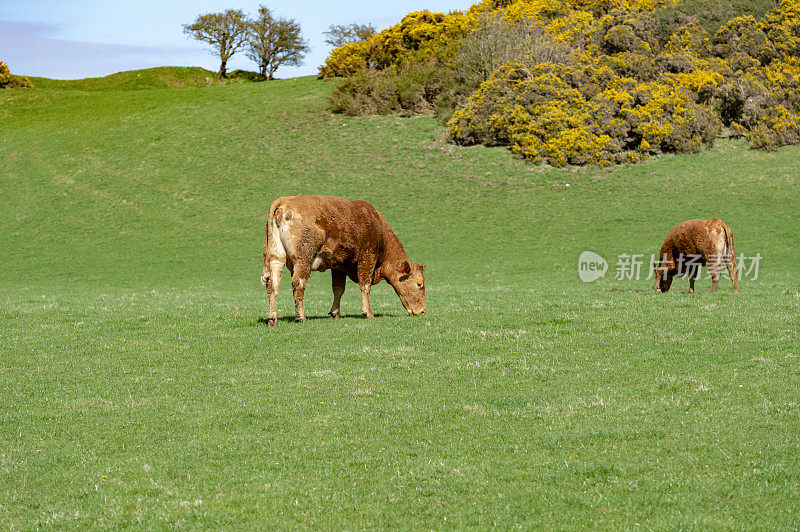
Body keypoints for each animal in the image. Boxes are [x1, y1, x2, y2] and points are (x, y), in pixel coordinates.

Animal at [260, 196, 424, 324]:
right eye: (419, 284)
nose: (422, 311)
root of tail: (284, 201)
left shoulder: (338, 266)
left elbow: (338, 289)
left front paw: (335, 313)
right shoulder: (368, 257)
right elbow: (365, 286)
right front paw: (368, 313)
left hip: (276, 257)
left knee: (273, 285)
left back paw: (272, 318)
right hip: (303, 259)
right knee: (298, 284)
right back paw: (301, 317)